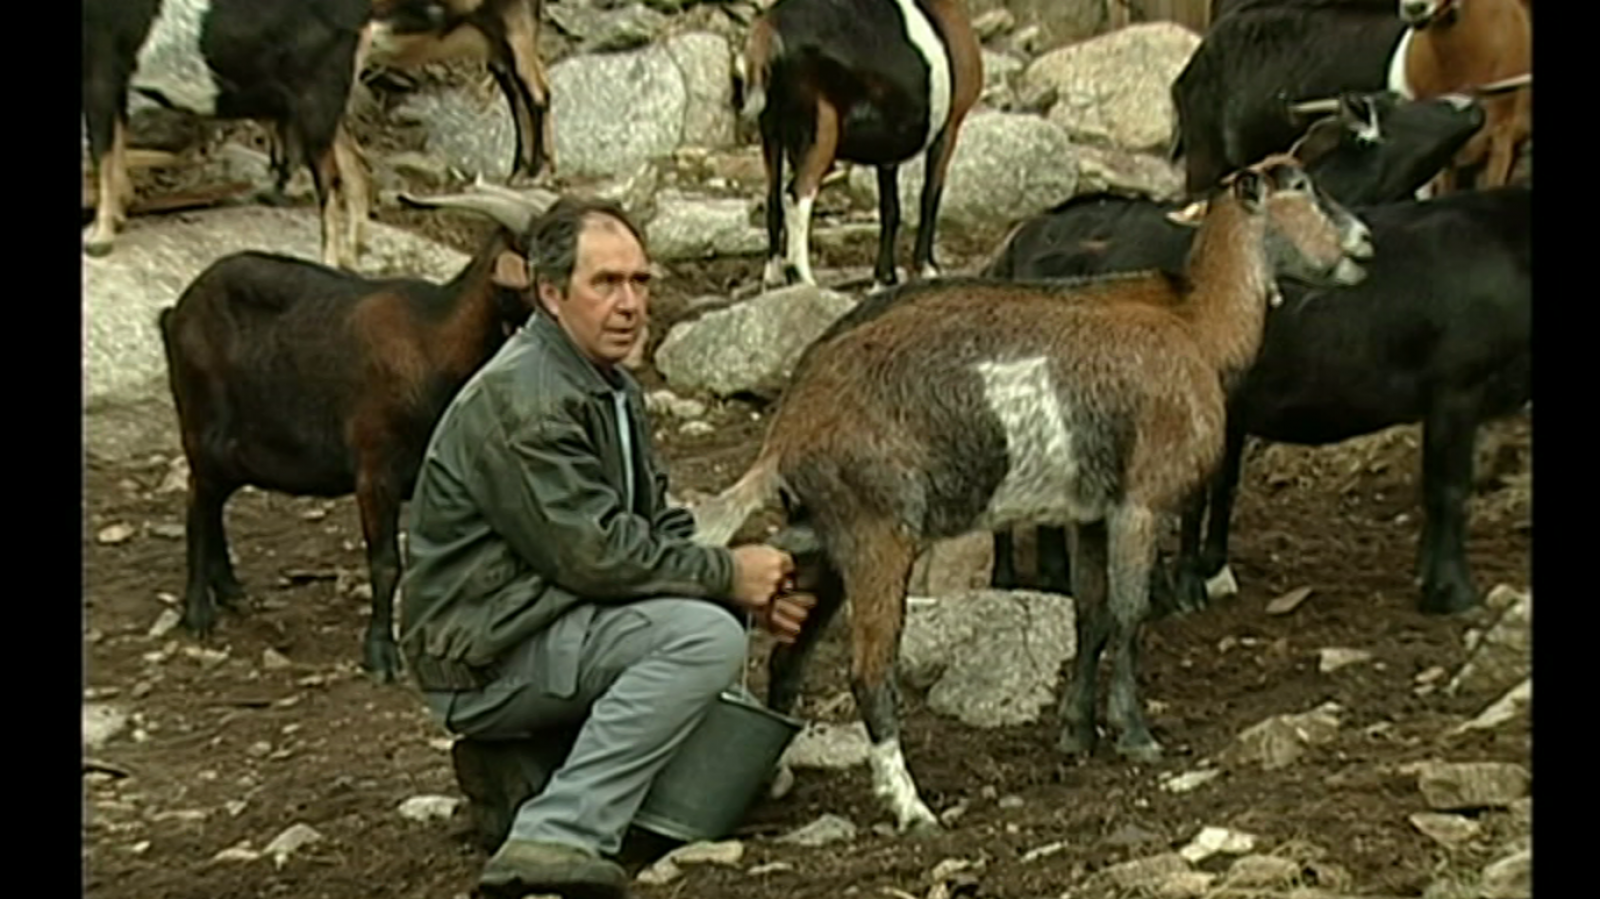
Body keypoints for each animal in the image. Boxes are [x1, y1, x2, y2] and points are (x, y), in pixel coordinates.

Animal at [157, 175, 550, 678]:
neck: (435, 341)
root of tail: (176, 311)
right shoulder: (375, 470)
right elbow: (385, 564)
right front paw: (381, 653)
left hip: (239, 449)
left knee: (213, 501)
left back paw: (230, 591)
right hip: (201, 424)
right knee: (197, 501)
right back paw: (198, 612)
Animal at [688, 153, 1376, 831]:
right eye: (1302, 186)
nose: (1365, 241)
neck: (1195, 326)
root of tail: (788, 429)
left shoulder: (1090, 512)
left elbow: (1090, 613)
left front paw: (1076, 731)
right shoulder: (1140, 501)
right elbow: (1129, 614)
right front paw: (1135, 734)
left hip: (828, 536)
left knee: (789, 655)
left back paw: (777, 774)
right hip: (878, 534)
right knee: (868, 673)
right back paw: (911, 807)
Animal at [739, 0, 985, 286]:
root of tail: (769, 30)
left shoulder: (888, 152)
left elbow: (891, 209)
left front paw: (884, 277)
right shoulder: (948, 130)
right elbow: (930, 196)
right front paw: (927, 267)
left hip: (771, 133)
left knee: (774, 198)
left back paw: (774, 275)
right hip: (821, 131)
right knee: (797, 195)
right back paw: (805, 278)